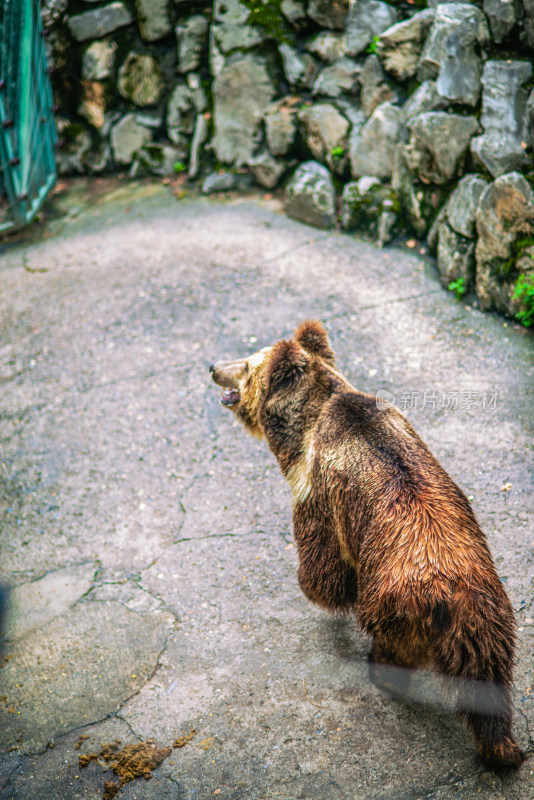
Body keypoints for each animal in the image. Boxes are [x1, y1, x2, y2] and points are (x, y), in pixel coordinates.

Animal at [211, 320, 524, 768]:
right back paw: (504, 748)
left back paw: (380, 672)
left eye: (248, 364)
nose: (213, 367)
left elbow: (324, 562)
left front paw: (312, 586)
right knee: (488, 681)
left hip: (393, 601)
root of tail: (451, 593)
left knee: (392, 648)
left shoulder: (320, 494)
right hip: (489, 616)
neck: (307, 427)